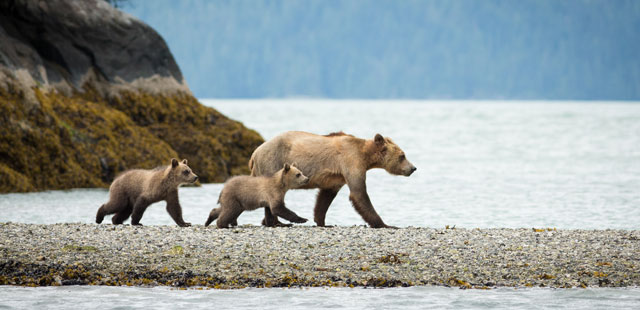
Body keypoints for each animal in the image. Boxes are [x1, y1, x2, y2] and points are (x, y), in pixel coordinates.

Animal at [248, 131, 418, 228]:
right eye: (402, 156)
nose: (413, 168)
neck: (366, 156)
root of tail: (255, 153)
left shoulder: (337, 176)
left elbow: (325, 197)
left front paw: (322, 222)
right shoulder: (351, 162)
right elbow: (359, 194)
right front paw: (385, 224)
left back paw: (273, 222)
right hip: (273, 162)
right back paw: (276, 222)